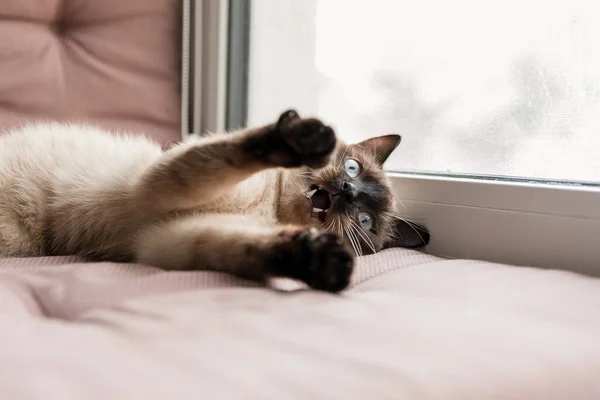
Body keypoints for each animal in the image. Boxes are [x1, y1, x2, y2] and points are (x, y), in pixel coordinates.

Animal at [0, 111, 432, 292]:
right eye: (353, 169)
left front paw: (319, 263)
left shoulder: (169, 242)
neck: (270, 210)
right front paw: (299, 138)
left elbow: (244, 250)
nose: (346, 191)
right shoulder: (161, 186)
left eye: (364, 221)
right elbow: (233, 151)